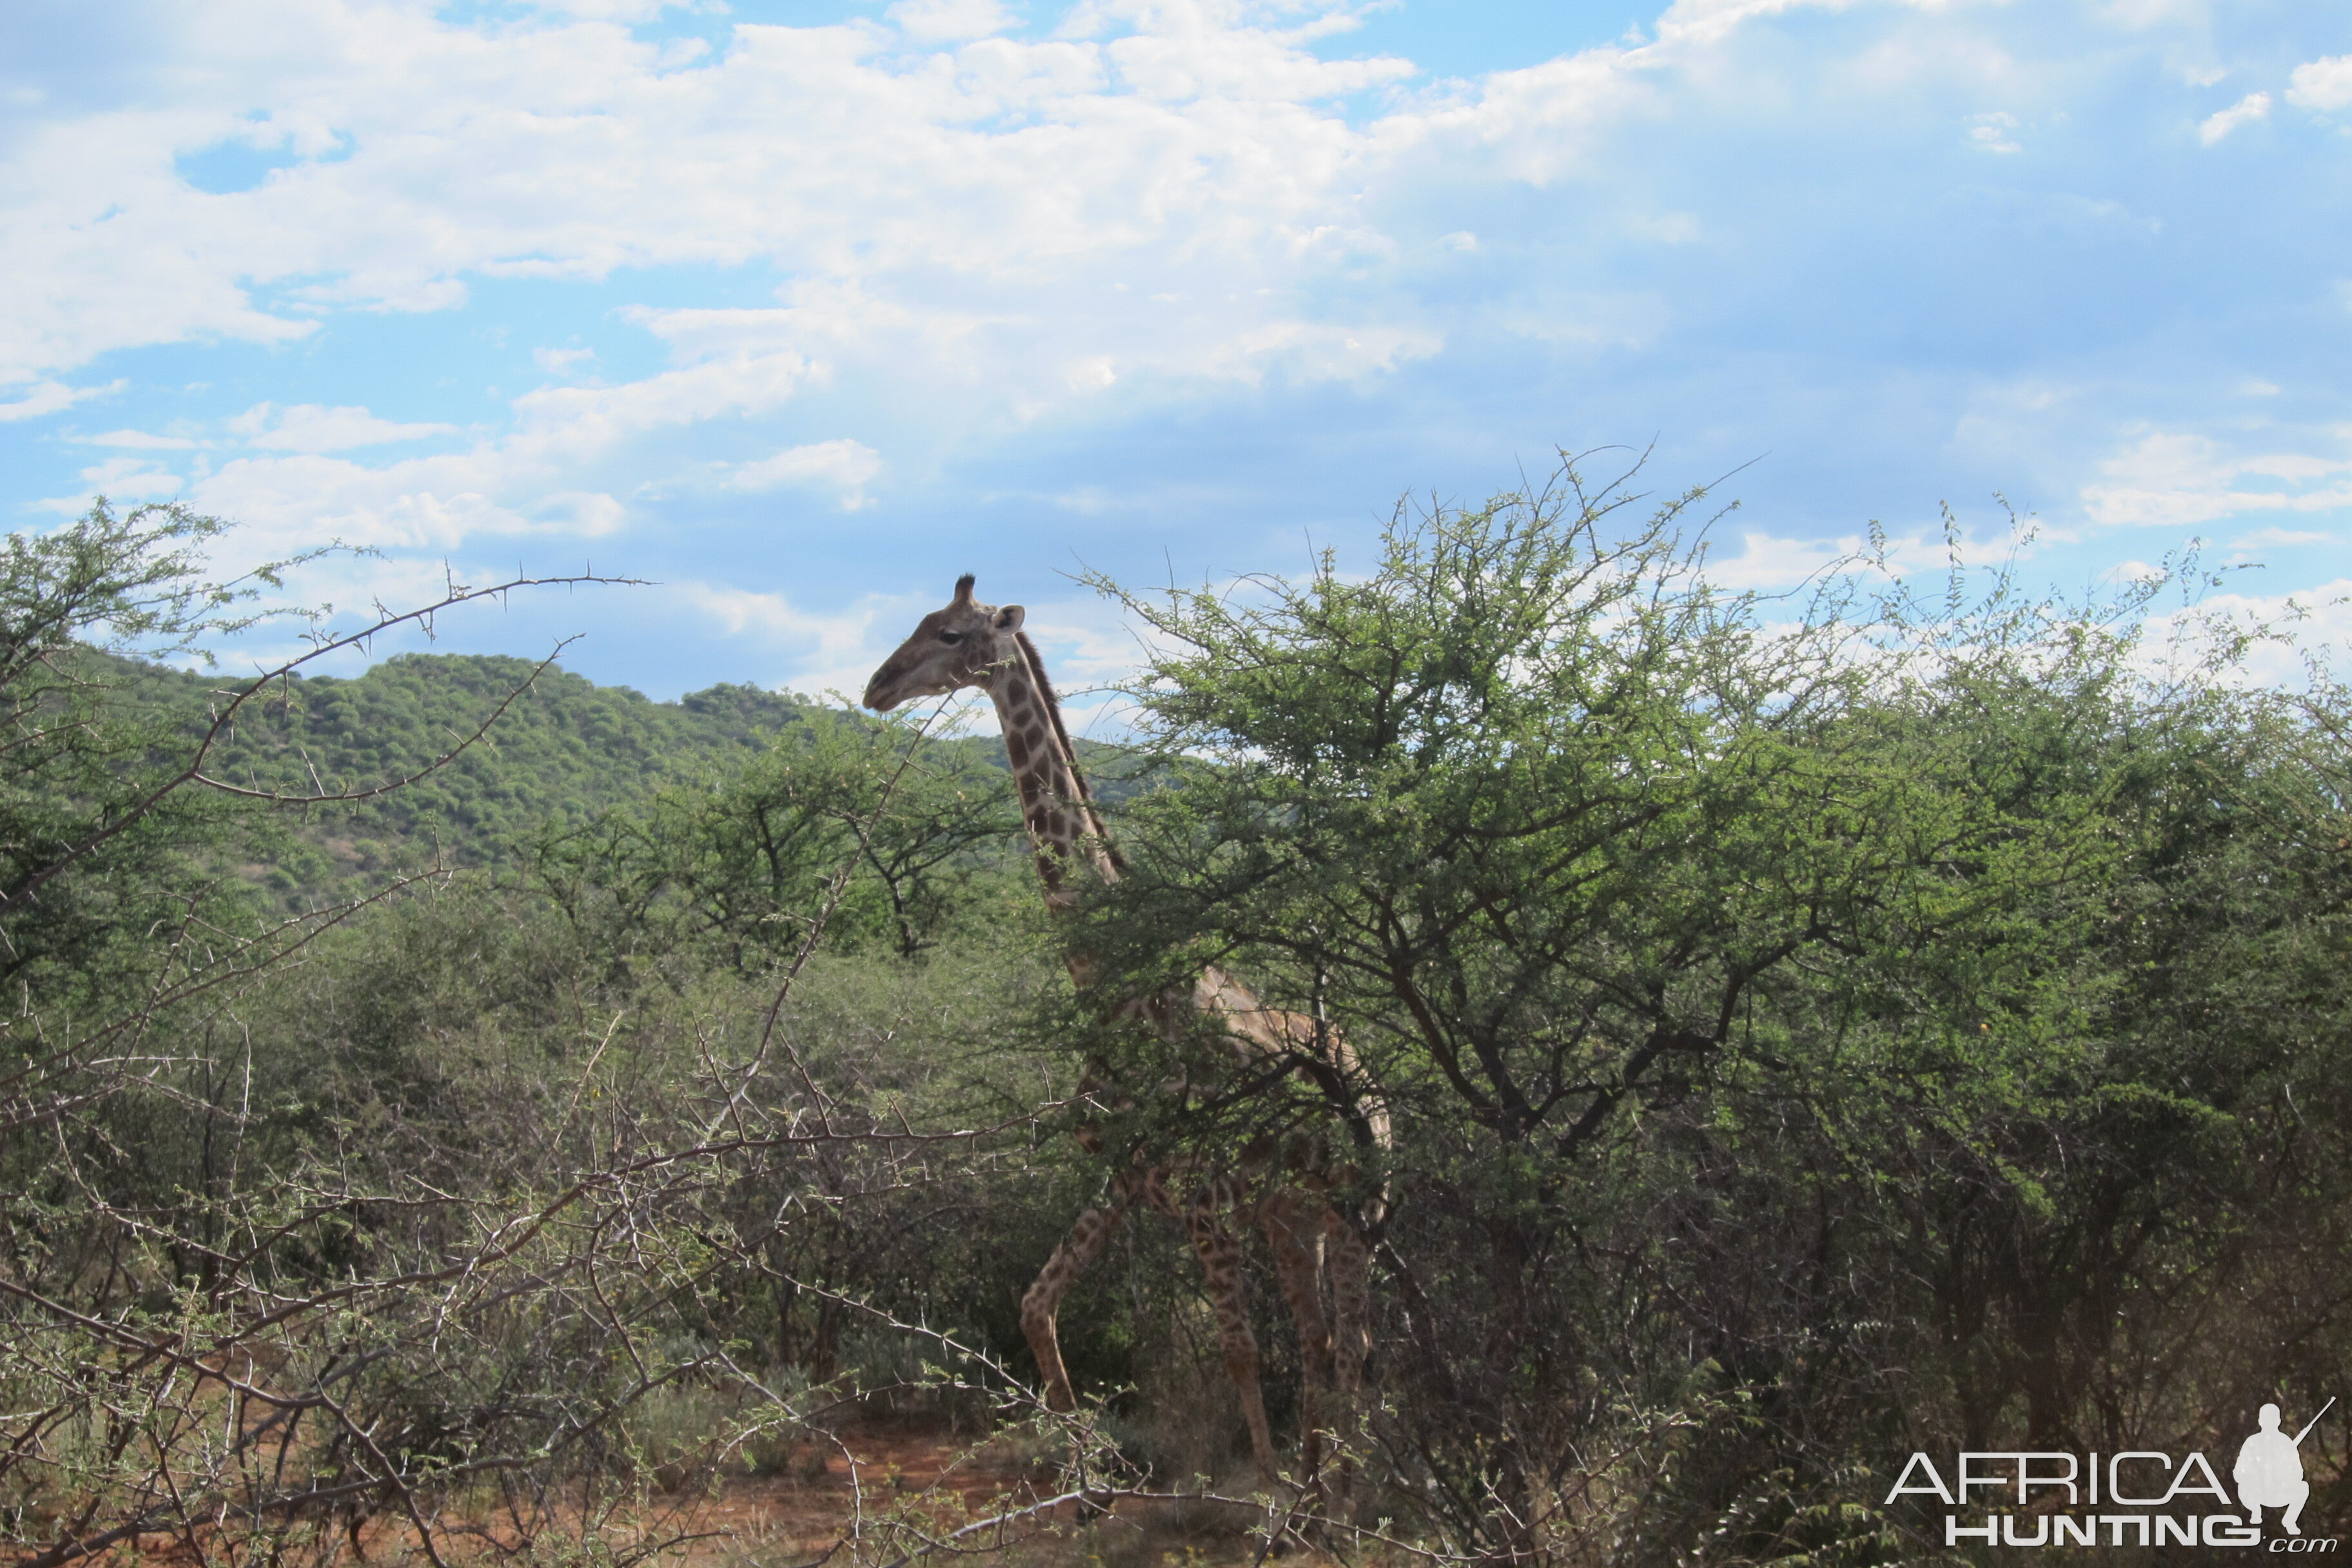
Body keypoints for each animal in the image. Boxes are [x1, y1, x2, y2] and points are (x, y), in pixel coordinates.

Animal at [861, 573, 1373, 1494]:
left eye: (950, 632)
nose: (876, 686)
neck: (1115, 991)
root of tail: (1373, 1080)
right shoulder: (1131, 1176)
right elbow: (1036, 1305)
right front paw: (1086, 1486)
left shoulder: (1204, 1191)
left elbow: (1239, 1352)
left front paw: (1265, 1496)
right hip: (1292, 1213)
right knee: (1321, 1340)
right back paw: (1321, 1484)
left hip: (1359, 1205)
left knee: (1354, 1346)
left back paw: (1348, 1495)